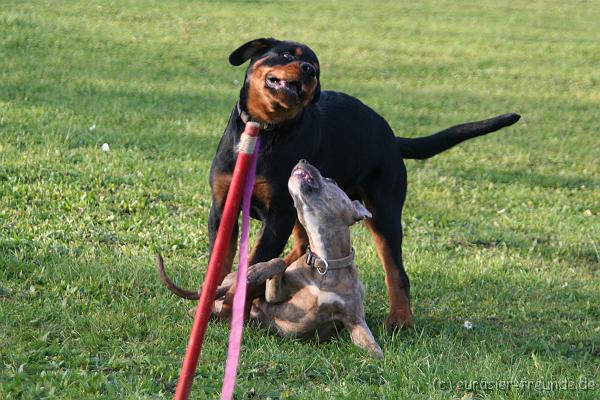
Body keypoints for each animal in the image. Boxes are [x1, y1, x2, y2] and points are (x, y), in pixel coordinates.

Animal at [159, 37, 520, 330]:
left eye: (316, 69)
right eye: (287, 53)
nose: (307, 69)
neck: (264, 132)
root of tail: (392, 138)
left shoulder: (277, 215)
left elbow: (255, 261)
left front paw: (232, 307)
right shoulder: (223, 207)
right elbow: (220, 262)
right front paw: (211, 302)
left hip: (381, 212)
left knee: (396, 272)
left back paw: (399, 320)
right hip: (304, 203)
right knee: (303, 246)